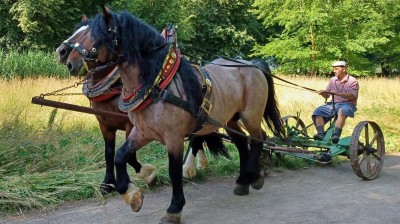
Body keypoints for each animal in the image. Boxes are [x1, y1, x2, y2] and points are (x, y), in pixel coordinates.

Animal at [55, 18, 230, 193]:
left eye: (91, 33)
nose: (61, 52)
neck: (116, 85)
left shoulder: (131, 125)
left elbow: (130, 156)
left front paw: (148, 176)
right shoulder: (105, 124)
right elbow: (109, 153)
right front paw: (107, 183)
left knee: (196, 137)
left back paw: (187, 168)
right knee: (198, 135)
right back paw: (198, 164)